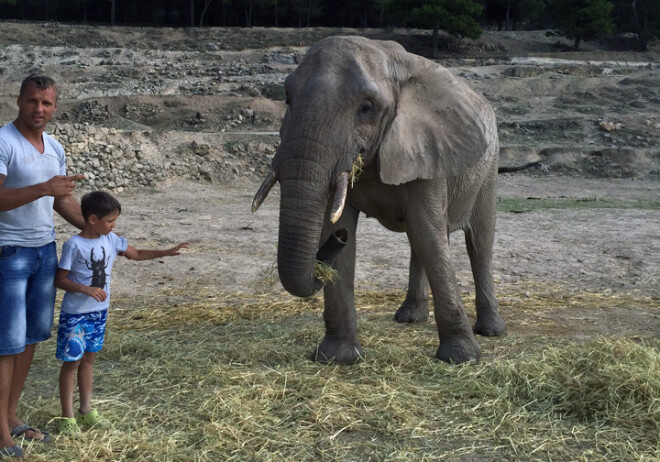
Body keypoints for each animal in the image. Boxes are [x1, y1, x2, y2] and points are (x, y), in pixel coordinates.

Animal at [251, 35, 506, 364]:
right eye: (287, 99)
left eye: (366, 108)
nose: (339, 240)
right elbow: (349, 225)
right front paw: (338, 358)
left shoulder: (428, 147)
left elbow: (430, 234)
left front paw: (462, 358)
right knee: (420, 239)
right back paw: (409, 318)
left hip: (490, 166)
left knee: (478, 241)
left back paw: (491, 330)